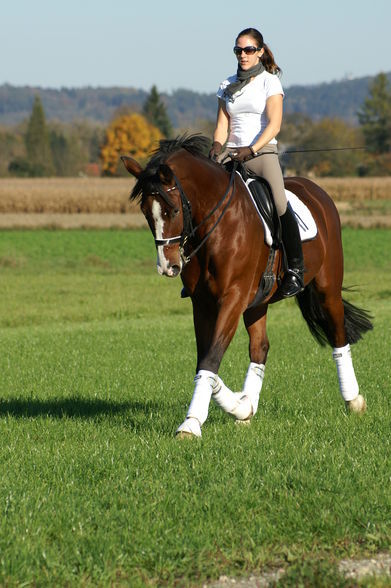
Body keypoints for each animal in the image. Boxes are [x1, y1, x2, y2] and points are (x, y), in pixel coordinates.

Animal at [122, 133, 374, 436]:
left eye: (172, 210)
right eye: (146, 213)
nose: (167, 267)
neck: (215, 226)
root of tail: (317, 191)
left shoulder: (233, 297)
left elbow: (211, 357)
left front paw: (191, 424)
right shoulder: (202, 303)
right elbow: (204, 359)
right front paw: (238, 406)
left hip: (328, 288)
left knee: (338, 335)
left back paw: (354, 400)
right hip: (258, 301)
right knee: (260, 347)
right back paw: (246, 409)